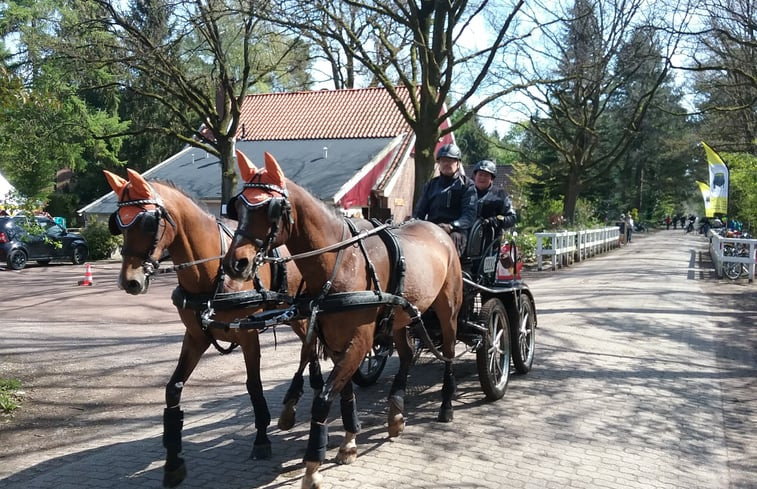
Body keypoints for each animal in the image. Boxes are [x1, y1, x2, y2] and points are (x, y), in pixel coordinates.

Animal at [103, 170, 322, 486]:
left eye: (147, 222)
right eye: (119, 222)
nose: (129, 281)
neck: (212, 273)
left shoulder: (248, 334)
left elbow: (253, 385)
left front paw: (261, 438)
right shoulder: (195, 337)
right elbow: (173, 390)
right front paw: (173, 461)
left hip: (300, 315)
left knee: (309, 350)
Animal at [221, 151, 464, 486]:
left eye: (272, 209)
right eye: (240, 206)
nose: (236, 264)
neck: (343, 262)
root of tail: (440, 230)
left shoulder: (358, 342)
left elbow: (324, 399)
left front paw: (312, 466)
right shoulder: (337, 342)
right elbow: (345, 392)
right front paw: (348, 443)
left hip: (447, 310)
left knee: (450, 353)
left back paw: (446, 406)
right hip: (400, 319)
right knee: (405, 355)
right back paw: (396, 413)